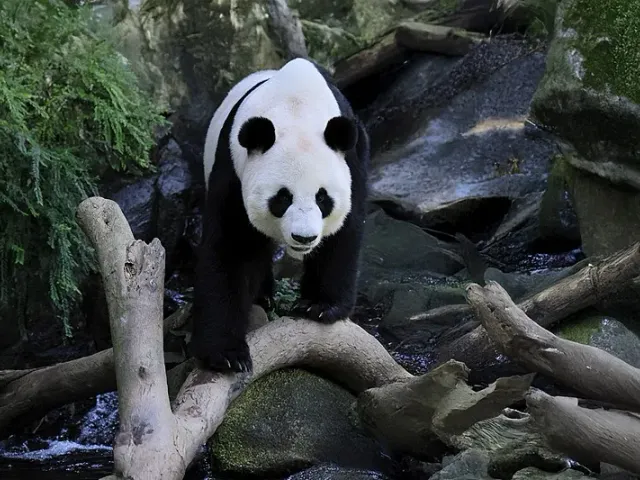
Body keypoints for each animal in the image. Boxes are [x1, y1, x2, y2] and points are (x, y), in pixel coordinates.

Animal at [191, 57, 370, 374]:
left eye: (322, 198)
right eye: (282, 198)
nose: (304, 237)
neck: (296, 107)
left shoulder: (351, 164)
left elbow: (344, 234)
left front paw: (319, 306)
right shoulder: (233, 169)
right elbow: (231, 246)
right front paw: (226, 354)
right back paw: (262, 295)